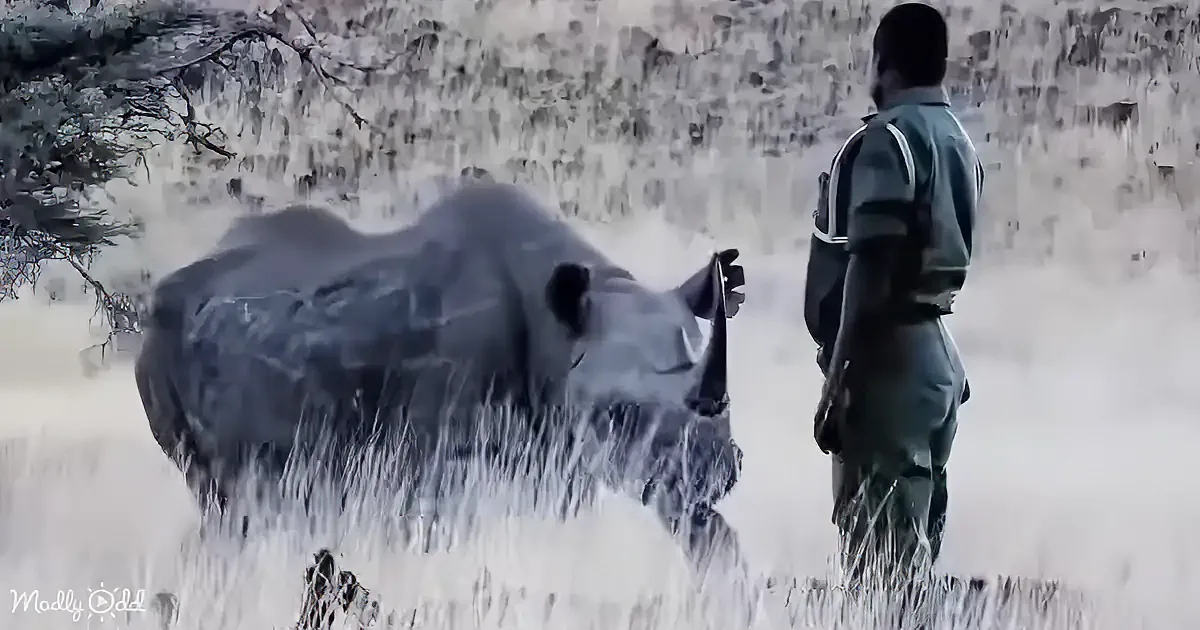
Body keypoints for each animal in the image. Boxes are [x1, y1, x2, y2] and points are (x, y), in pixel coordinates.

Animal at [133, 182, 748, 574]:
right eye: (617, 413)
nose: (713, 471)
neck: (560, 328)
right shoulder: (441, 463)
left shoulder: (574, 460)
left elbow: (705, 537)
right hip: (159, 349)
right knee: (221, 503)